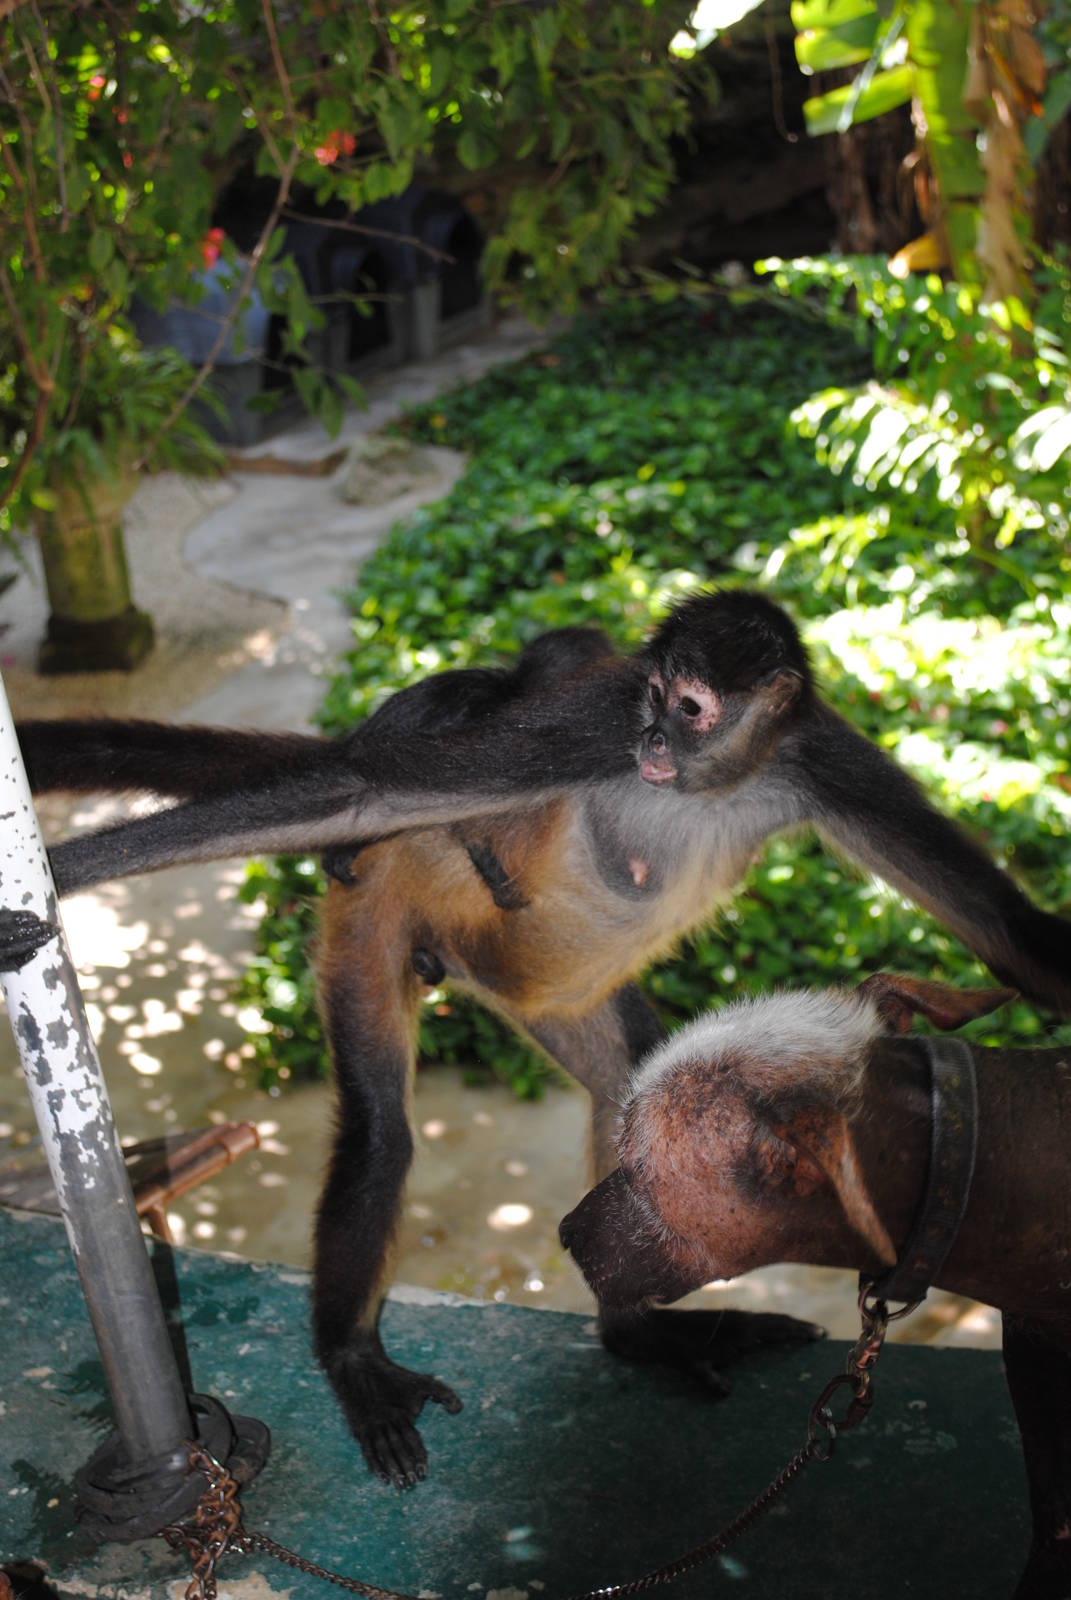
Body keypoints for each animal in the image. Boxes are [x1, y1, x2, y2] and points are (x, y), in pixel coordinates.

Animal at [11, 588, 1071, 1490]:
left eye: (690, 707)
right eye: (653, 698)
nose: (651, 737)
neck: (710, 786)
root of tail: (472, 958)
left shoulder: (819, 760)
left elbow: (1011, 936)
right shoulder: (596, 717)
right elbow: (358, 791)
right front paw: (58, 876)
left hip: (561, 991)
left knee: (627, 1090)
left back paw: (635, 1333)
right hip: (378, 905)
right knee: (382, 1123)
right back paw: (355, 1359)